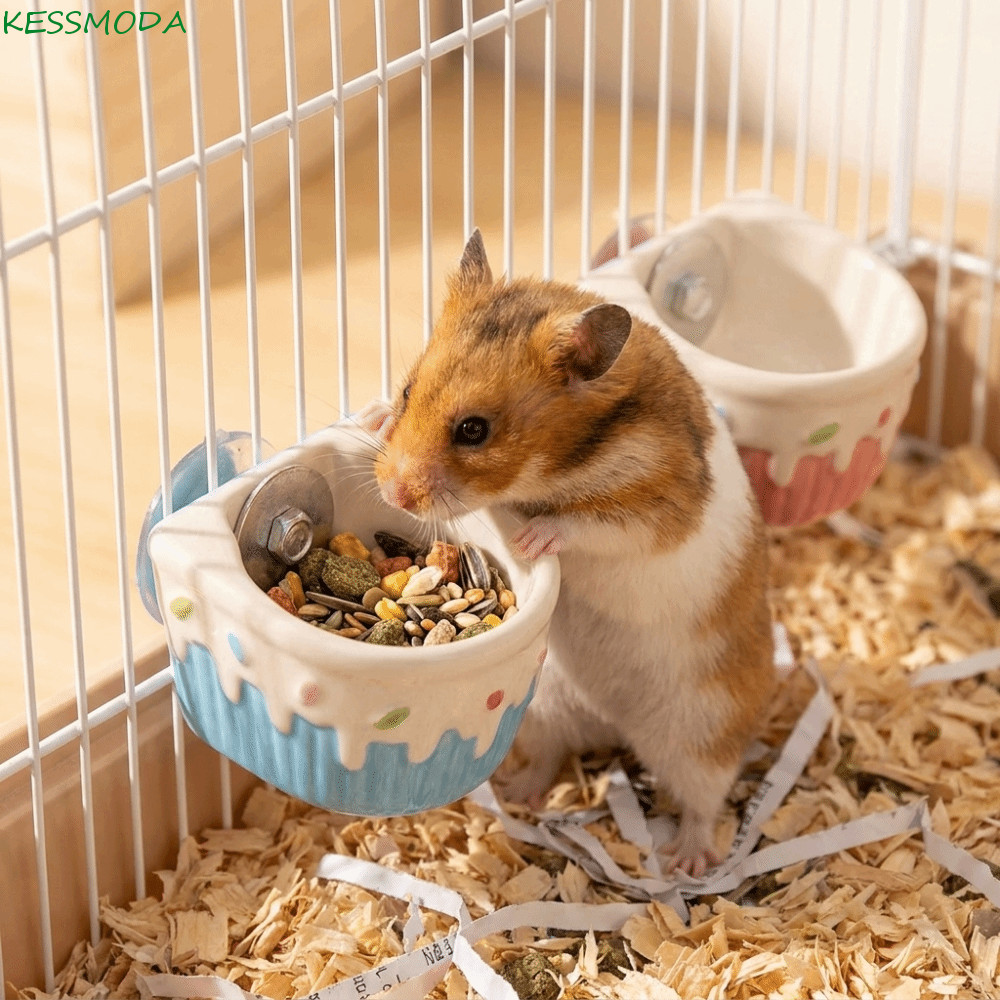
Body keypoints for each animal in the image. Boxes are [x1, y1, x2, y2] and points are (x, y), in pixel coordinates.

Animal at [362, 230, 775, 877]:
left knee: (703, 800)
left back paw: (686, 862)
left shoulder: (657, 506)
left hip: (702, 732)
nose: (393, 493)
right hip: (544, 709)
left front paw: (530, 539)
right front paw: (370, 416)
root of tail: (611, 724)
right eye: (408, 390)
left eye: (474, 430)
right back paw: (520, 794)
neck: (566, 460)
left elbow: (587, 525)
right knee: (551, 756)